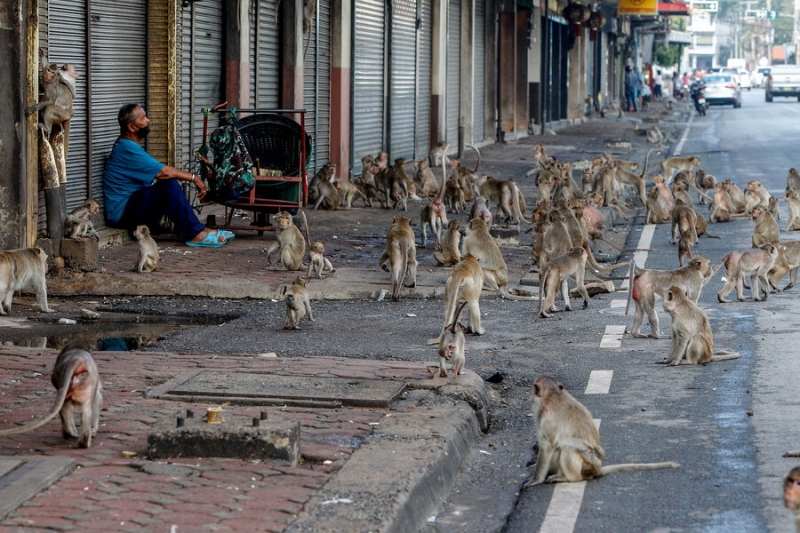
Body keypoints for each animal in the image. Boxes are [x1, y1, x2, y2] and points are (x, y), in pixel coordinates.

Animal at [520, 374, 680, 486]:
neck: (553, 393)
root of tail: (597, 469)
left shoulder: (545, 417)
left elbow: (546, 447)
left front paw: (535, 480)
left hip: (587, 465)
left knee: (567, 448)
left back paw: (568, 478)